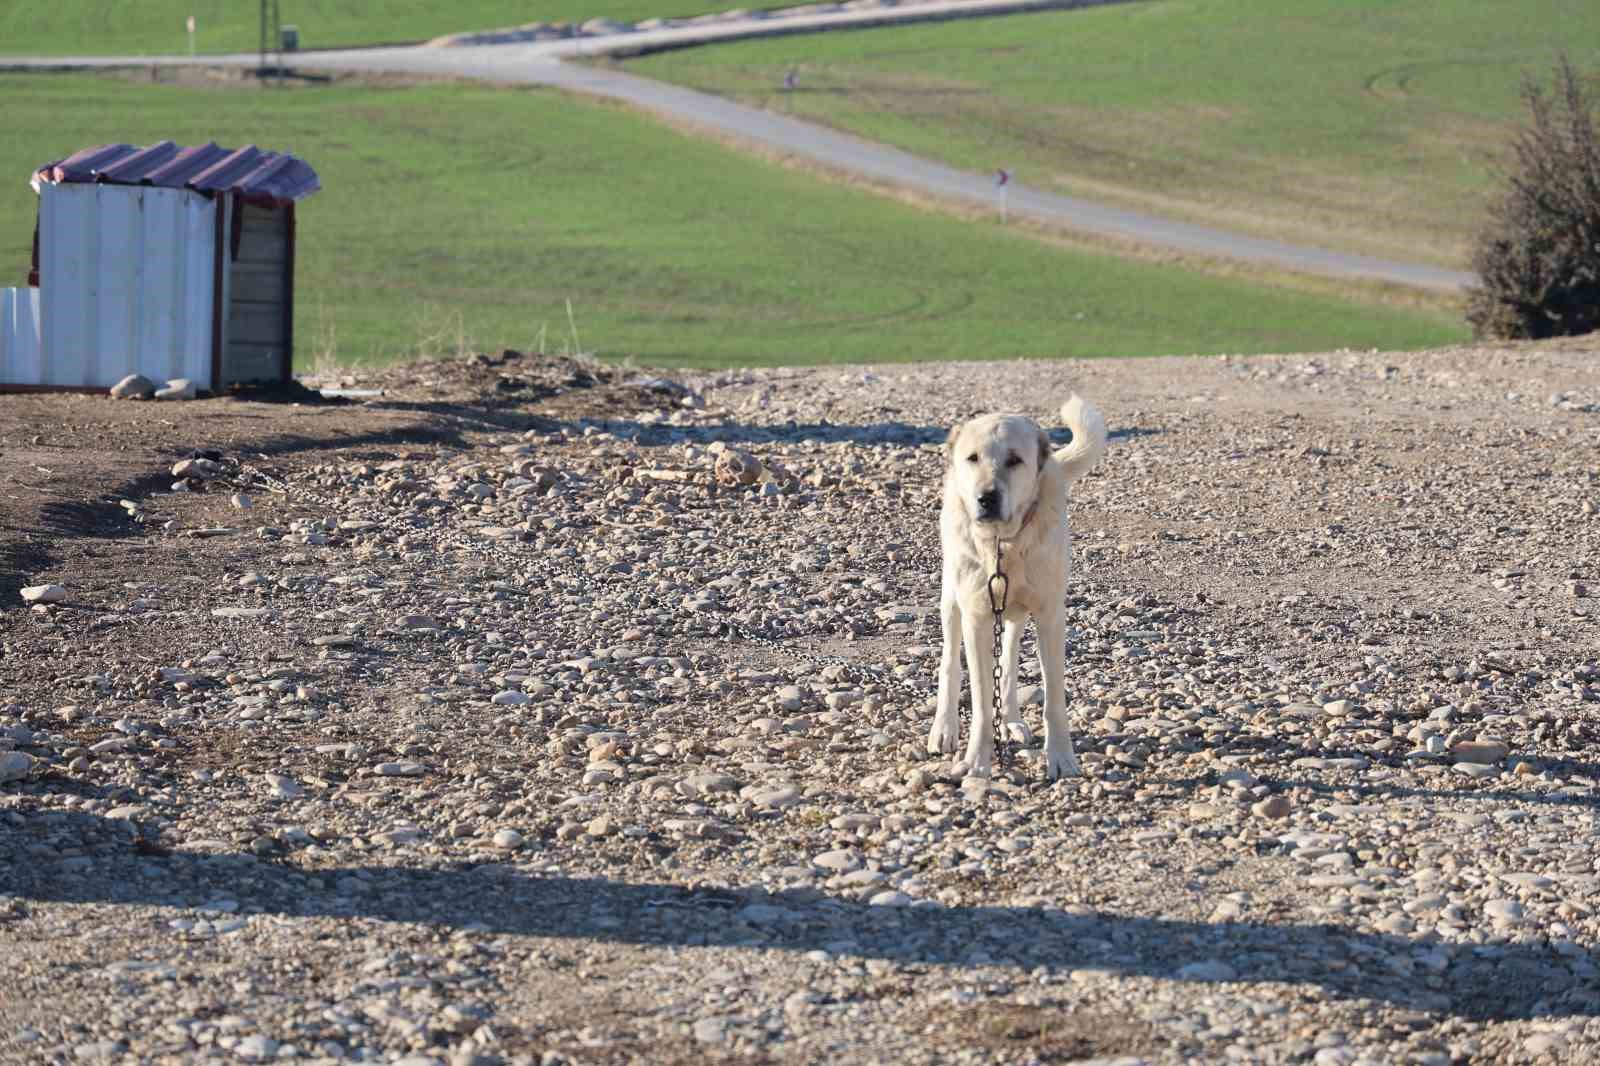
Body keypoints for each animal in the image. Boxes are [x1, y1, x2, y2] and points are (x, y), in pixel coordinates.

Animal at [934, 393, 1107, 777]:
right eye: (973, 458)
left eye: (1015, 460)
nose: (987, 498)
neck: (1004, 542)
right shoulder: (977, 618)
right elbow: (982, 702)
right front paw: (976, 761)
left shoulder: (1050, 616)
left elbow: (1053, 698)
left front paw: (1061, 758)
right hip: (952, 600)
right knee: (950, 662)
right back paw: (944, 728)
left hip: (1015, 610)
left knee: (1009, 659)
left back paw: (1012, 720)